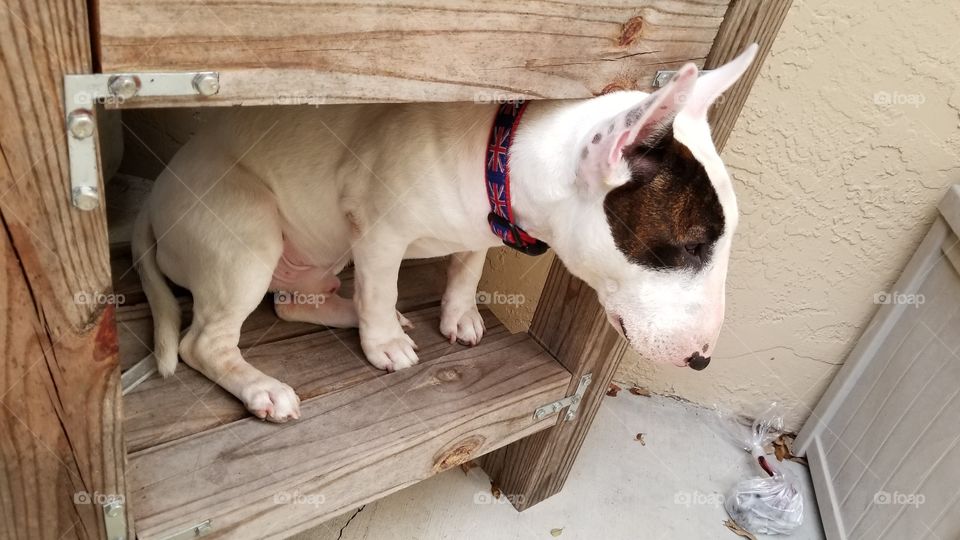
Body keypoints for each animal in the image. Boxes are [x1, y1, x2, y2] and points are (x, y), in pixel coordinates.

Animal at [133, 45, 756, 422]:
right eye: (692, 245)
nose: (702, 361)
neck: (499, 152)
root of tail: (151, 203)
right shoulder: (378, 231)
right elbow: (381, 285)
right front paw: (383, 342)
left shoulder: (479, 226)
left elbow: (468, 264)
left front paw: (459, 314)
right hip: (249, 229)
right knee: (203, 342)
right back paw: (264, 386)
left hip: (314, 248)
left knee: (291, 303)